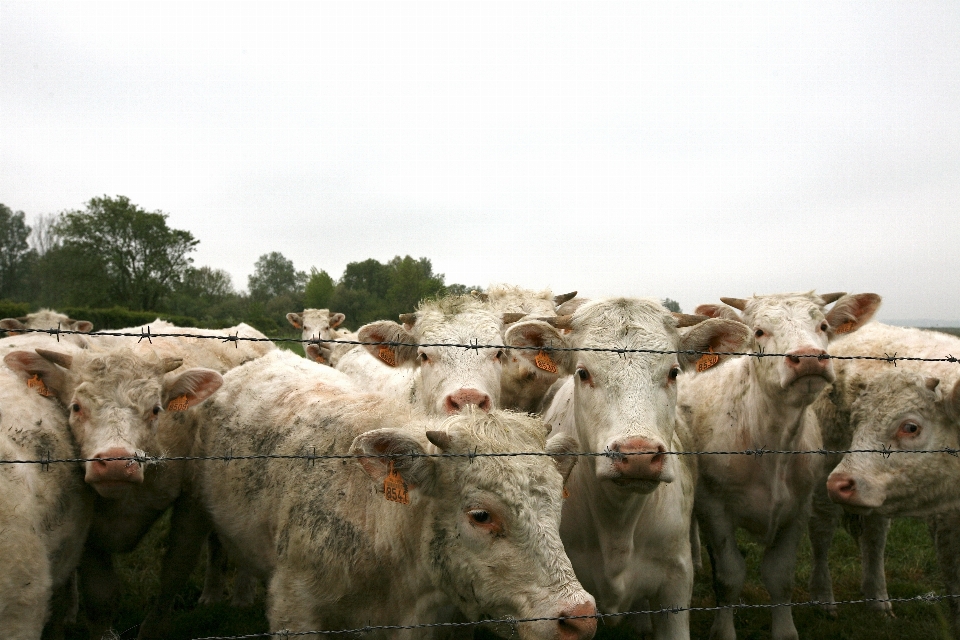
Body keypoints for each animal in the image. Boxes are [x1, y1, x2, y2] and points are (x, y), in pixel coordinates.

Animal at [680, 292, 880, 640]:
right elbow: (729, 575)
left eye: (823, 326)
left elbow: (780, 576)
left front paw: (785, 629)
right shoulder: (714, 508)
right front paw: (723, 629)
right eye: (759, 331)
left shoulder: (797, 508)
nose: (810, 359)